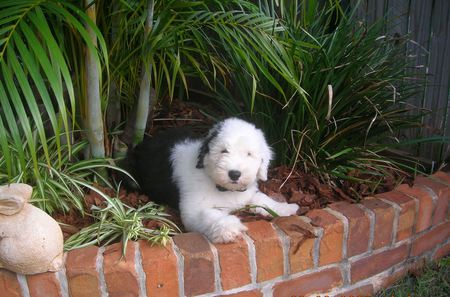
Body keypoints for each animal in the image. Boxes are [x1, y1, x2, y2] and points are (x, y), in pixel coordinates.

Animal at [125, 117, 298, 242]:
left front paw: (285, 208)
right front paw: (229, 227)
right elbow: (209, 214)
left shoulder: (247, 194)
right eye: (224, 151)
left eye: (249, 154)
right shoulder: (193, 209)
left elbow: (262, 198)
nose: (235, 174)